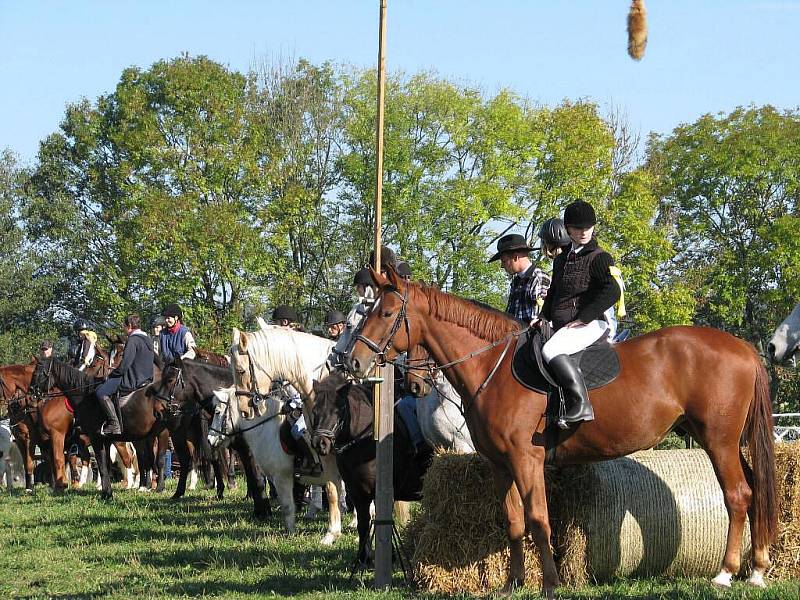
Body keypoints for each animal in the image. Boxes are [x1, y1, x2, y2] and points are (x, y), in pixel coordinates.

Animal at [208, 326, 342, 548]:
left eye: (218, 412)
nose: (211, 439)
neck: (266, 429)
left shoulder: (282, 476)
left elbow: (288, 505)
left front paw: (291, 534)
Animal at [310, 370, 432, 568]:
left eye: (339, 410)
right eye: (314, 411)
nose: (320, 443)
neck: (365, 442)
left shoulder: (383, 492)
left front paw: (390, 557)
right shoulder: (357, 493)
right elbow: (363, 524)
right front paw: (363, 559)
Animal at [348, 270, 776, 596]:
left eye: (386, 312)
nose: (353, 361)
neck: (493, 365)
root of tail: (742, 347)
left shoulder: (526, 460)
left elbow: (538, 520)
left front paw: (551, 584)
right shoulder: (501, 465)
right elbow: (514, 522)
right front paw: (513, 584)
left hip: (718, 440)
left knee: (738, 495)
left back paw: (726, 573)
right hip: (722, 441)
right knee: (755, 492)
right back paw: (756, 569)